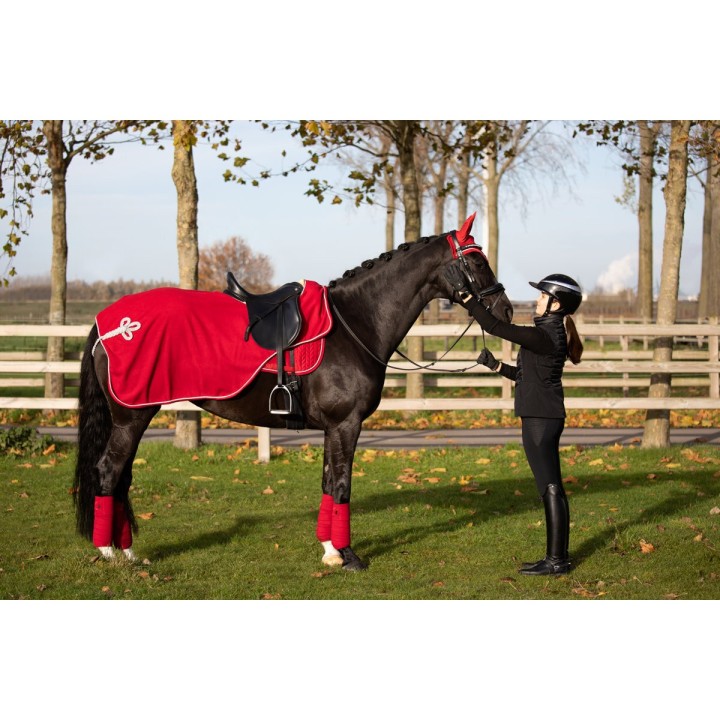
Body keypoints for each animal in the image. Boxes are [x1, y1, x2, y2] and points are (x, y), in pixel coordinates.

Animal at [73, 214, 513, 570]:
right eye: (477, 261)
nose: (507, 310)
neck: (354, 324)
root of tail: (109, 324)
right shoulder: (346, 424)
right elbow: (342, 485)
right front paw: (349, 556)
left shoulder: (331, 428)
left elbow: (327, 483)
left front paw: (330, 551)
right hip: (131, 416)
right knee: (109, 471)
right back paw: (110, 553)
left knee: (122, 476)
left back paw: (128, 550)